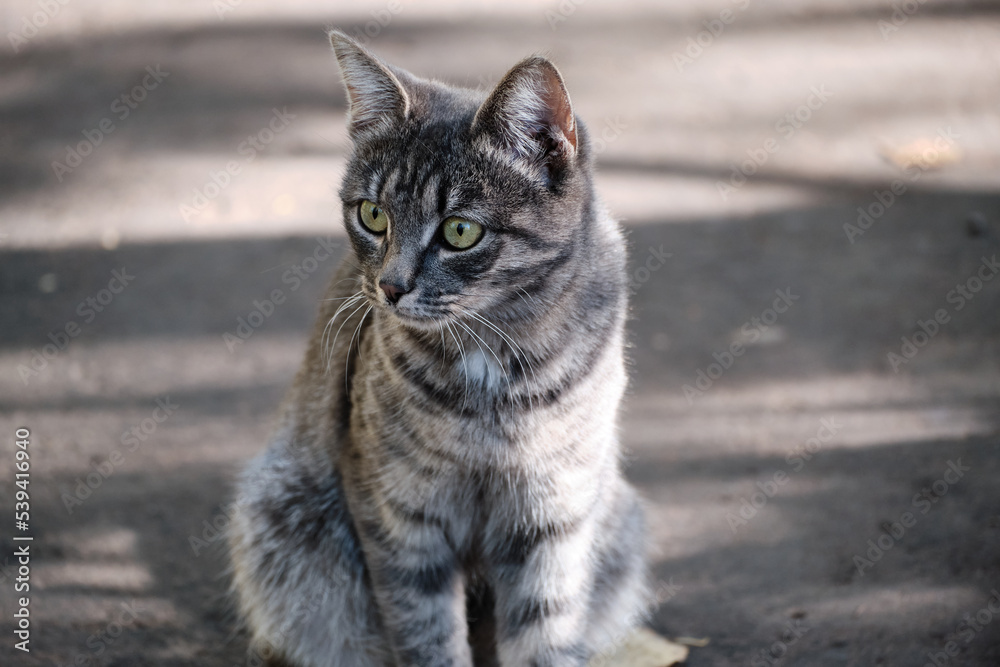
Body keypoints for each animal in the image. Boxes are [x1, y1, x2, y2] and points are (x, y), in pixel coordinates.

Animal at [227, 28, 648, 664]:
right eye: (372, 215)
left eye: (460, 230)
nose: (390, 287)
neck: (496, 364)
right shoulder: (398, 516)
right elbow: (425, 634)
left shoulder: (554, 515)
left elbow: (545, 631)